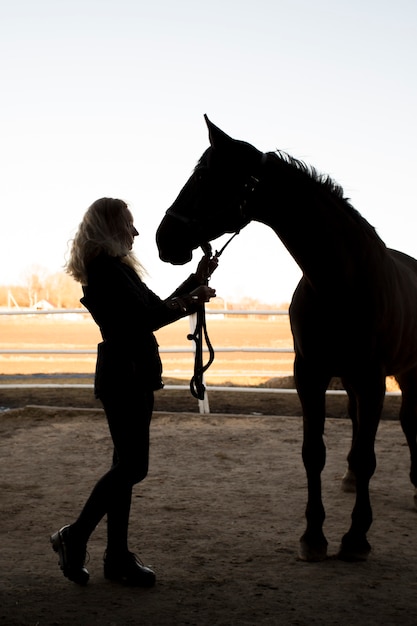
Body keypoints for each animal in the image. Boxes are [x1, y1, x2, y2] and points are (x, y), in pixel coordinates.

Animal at [154, 116, 417, 560]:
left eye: (204, 176)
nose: (163, 238)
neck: (340, 283)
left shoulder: (373, 379)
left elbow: (369, 455)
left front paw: (355, 538)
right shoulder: (311, 374)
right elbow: (314, 453)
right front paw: (313, 536)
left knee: (409, 420)